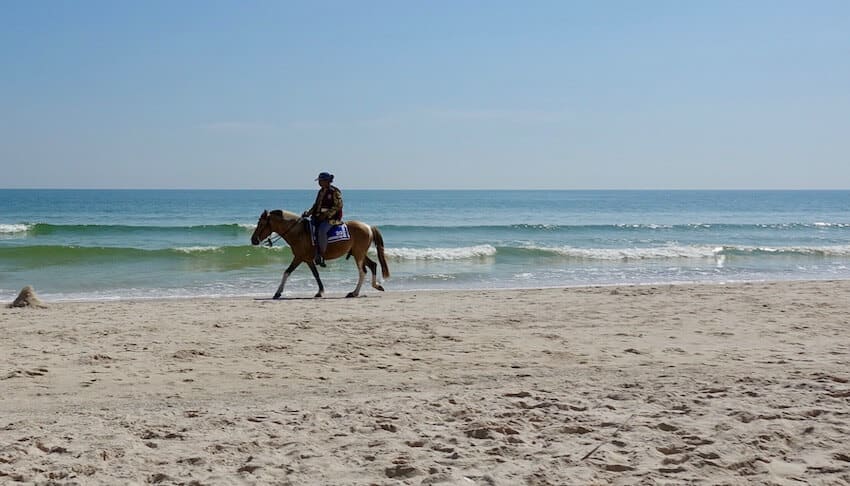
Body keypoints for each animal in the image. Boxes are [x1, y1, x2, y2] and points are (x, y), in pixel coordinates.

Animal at [248, 210, 388, 298]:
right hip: (358, 253)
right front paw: (320, 291)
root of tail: (369, 227)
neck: (298, 232)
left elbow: (287, 272)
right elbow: (316, 274)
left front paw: (278, 292)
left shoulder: (299, 258)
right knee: (373, 265)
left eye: (261, 224)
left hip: (358, 255)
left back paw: (354, 293)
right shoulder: (307, 259)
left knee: (363, 271)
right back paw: (376, 286)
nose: (253, 240)